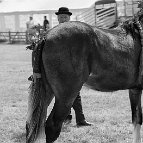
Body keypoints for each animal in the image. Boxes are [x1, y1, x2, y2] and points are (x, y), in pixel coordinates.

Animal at [26, 13, 142, 142]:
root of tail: (45, 36)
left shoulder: (135, 90)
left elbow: (137, 119)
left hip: (47, 92)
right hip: (67, 95)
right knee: (52, 126)